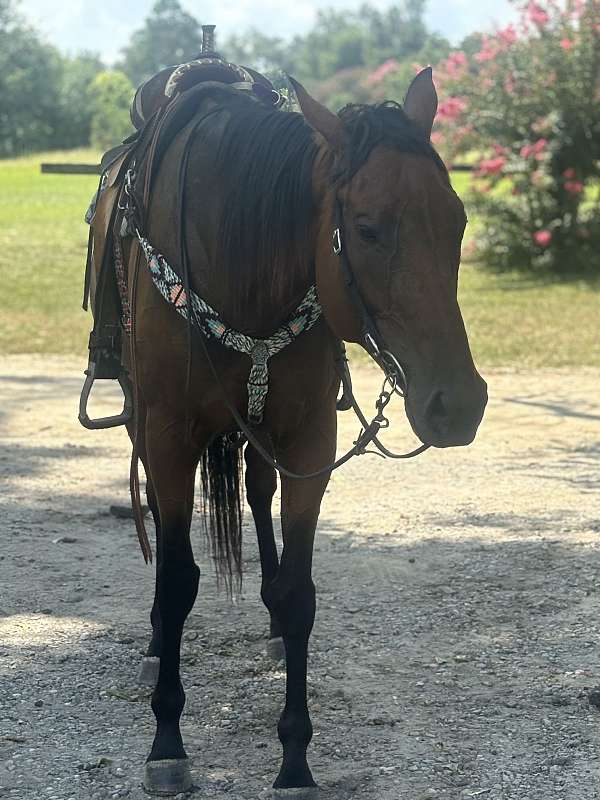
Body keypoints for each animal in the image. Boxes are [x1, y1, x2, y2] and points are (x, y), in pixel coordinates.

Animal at [109, 67, 487, 795]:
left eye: (456, 221)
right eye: (367, 229)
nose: (459, 404)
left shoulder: (309, 437)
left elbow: (298, 592)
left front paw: (294, 757)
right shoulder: (168, 435)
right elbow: (177, 580)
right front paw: (166, 741)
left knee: (258, 496)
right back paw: (154, 646)